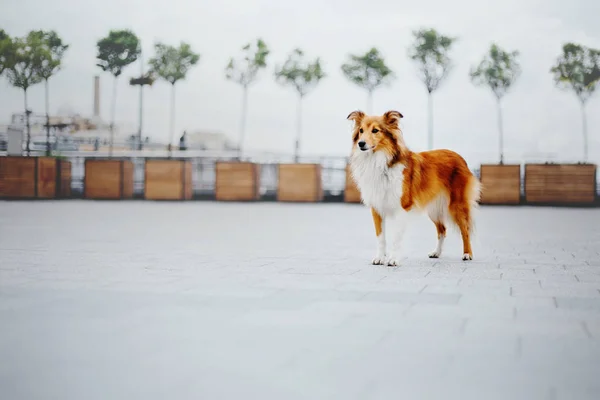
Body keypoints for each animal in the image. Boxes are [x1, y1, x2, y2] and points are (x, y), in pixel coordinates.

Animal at [346, 109, 478, 266]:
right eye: (361, 130)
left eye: (375, 130)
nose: (361, 144)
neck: (381, 163)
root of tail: (460, 157)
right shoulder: (377, 208)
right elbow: (380, 237)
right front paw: (379, 258)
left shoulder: (401, 208)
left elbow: (396, 238)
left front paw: (393, 259)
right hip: (434, 209)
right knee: (442, 230)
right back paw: (436, 253)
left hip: (457, 205)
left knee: (465, 229)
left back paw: (467, 254)